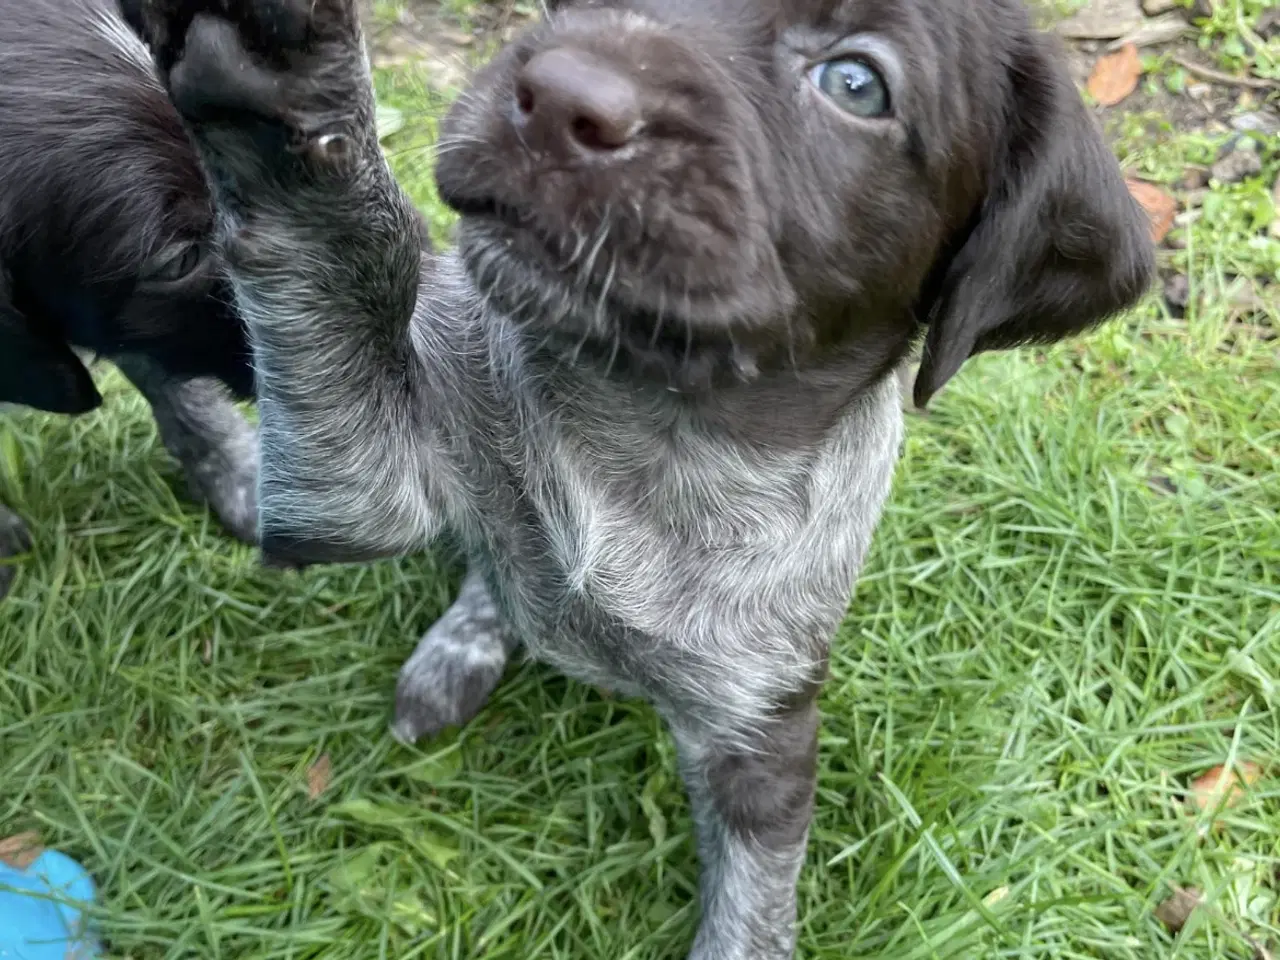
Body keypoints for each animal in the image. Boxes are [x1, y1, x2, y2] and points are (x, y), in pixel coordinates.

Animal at [135, 3, 1157, 957]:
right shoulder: (348, 483)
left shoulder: (760, 738)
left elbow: (751, 916)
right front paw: (284, 85)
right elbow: (337, 249)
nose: (558, 96)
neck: (660, 437)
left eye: (856, 83)